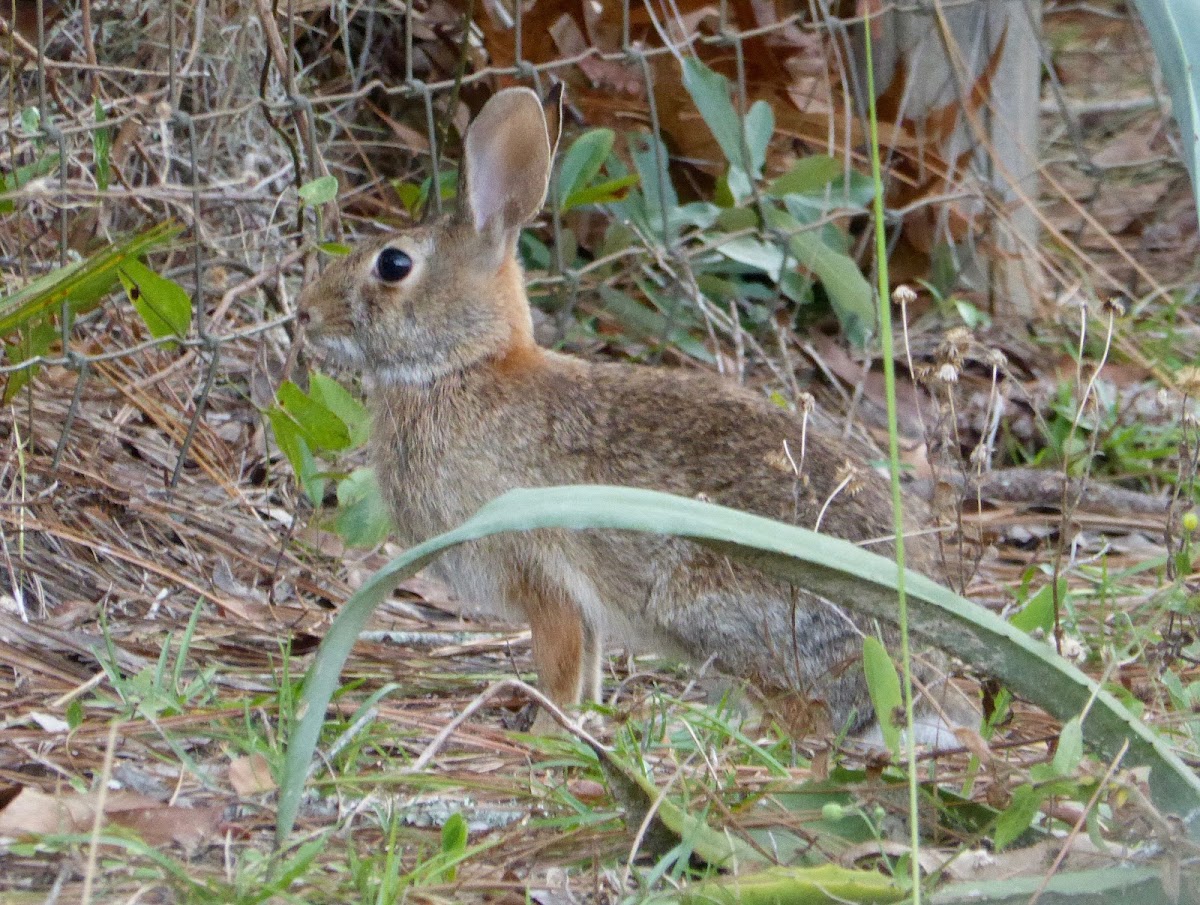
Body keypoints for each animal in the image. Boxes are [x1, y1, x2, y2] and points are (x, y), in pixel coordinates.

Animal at [297, 84, 974, 739]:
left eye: (393, 264)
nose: (305, 312)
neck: (462, 367)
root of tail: (913, 680)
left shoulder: (541, 573)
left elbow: (560, 660)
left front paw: (545, 730)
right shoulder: (581, 603)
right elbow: (590, 661)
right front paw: (587, 718)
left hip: (710, 608)